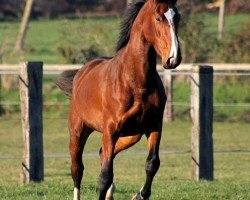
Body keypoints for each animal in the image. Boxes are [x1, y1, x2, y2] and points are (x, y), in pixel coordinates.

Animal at [56, 0, 182, 200]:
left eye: (177, 17)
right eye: (158, 18)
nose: (173, 58)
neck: (136, 82)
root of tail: (81, 74)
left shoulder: (154, 126)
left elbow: (152, 164)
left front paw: (139, 195)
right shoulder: (111, 130)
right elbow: (105, 175)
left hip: (131, 136)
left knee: (103, 154)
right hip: (78, 132)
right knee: (77, 168)